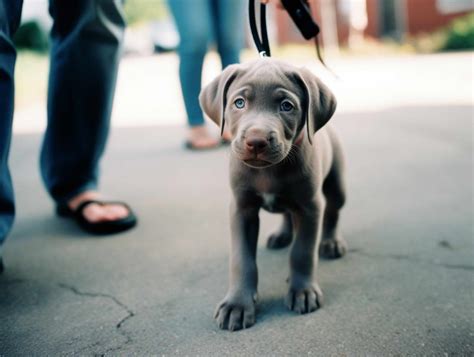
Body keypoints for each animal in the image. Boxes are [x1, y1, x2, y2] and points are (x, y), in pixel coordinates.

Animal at [200, 58, 348, 330]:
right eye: (239, 103)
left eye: (286, 106)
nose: (256, 141)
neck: (268, 172)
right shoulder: (242, 209)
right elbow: (242, 260)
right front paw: (237, 304)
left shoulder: (310, 207)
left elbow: (302, 252)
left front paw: (302, 291)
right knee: (286, 214)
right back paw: (282, 235)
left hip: (337, 185)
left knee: (333, 210)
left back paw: (331, 242)